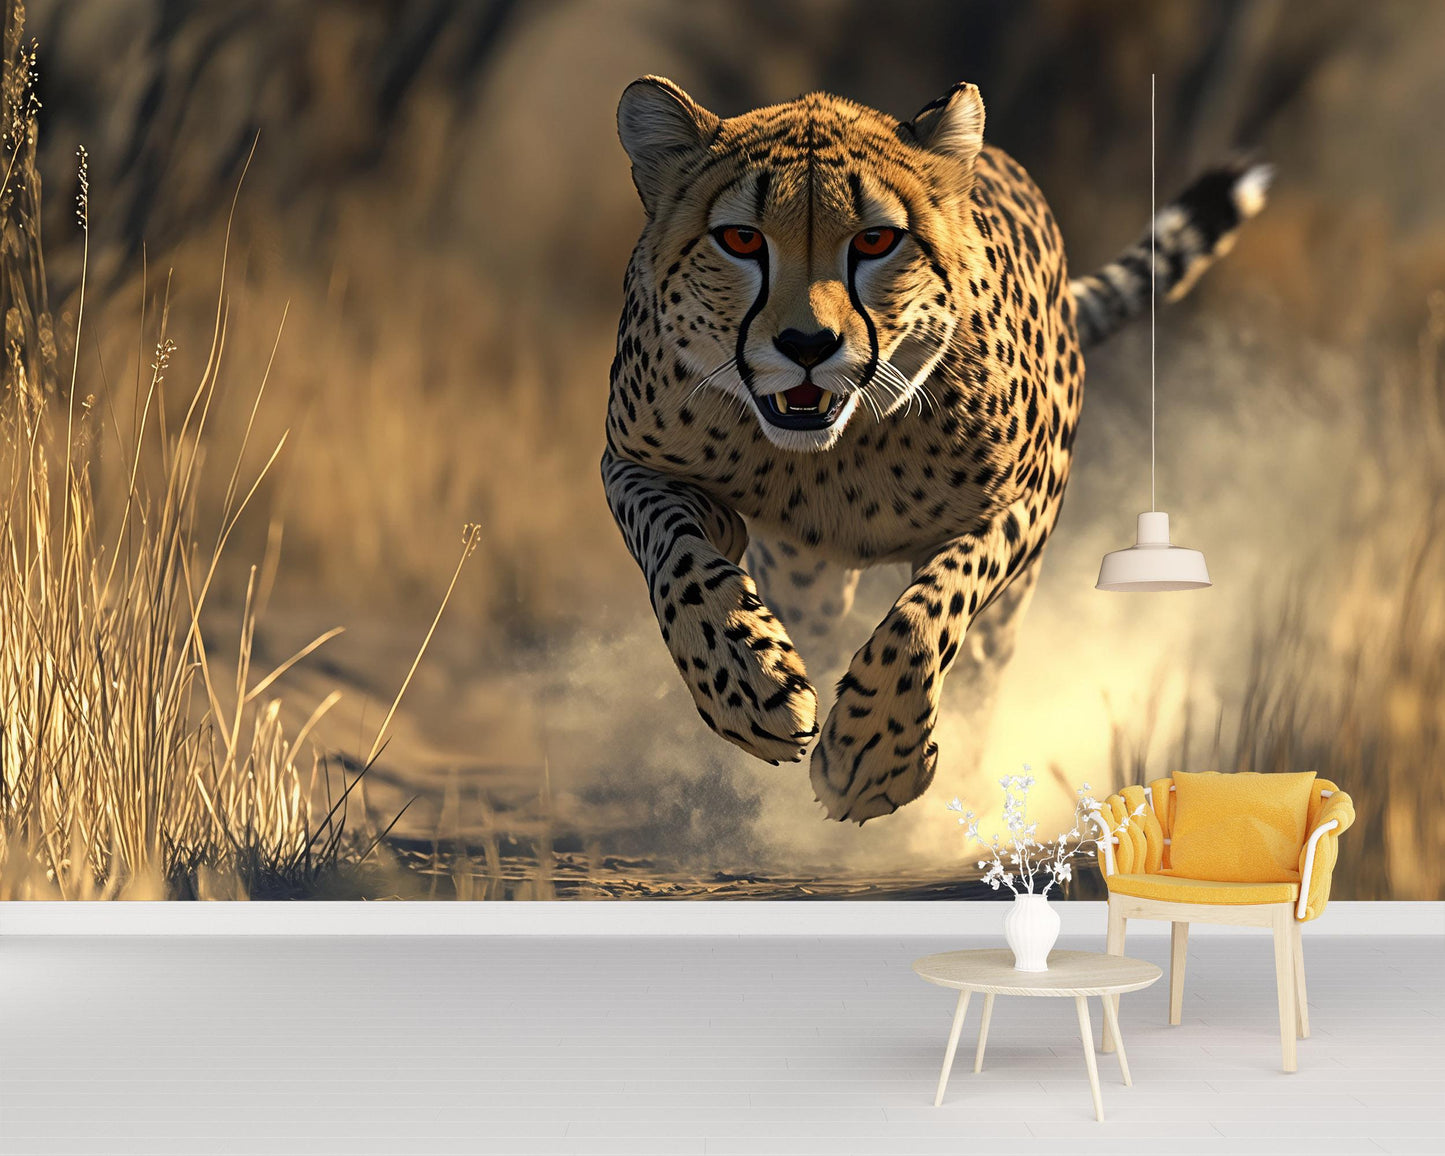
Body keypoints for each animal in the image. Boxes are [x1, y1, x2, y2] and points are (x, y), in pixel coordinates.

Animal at [602, 76, 1269, 823]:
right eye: (741, 239)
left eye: (876, 240)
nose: (807, 345)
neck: (831, 455)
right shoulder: (631, 465)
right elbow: (680, 561)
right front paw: (749, 681)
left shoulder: (1026, 500)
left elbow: (933, 606)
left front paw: (873, 753)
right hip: (807, 575)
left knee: (978, 674)